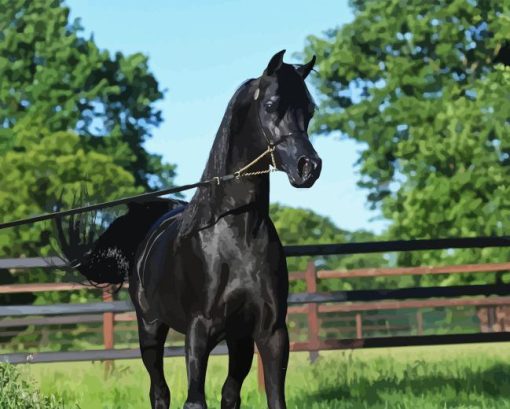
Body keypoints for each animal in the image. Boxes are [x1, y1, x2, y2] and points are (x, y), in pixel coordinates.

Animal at [55, 51, 318, 408]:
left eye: (310, 110)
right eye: (271, 105)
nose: (309, 167)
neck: (236, 237)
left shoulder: (269, 333)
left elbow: (267, 398)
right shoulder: (199, 332)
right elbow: (194, 400)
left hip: (237, 341)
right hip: (150, 329)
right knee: (159, 391)